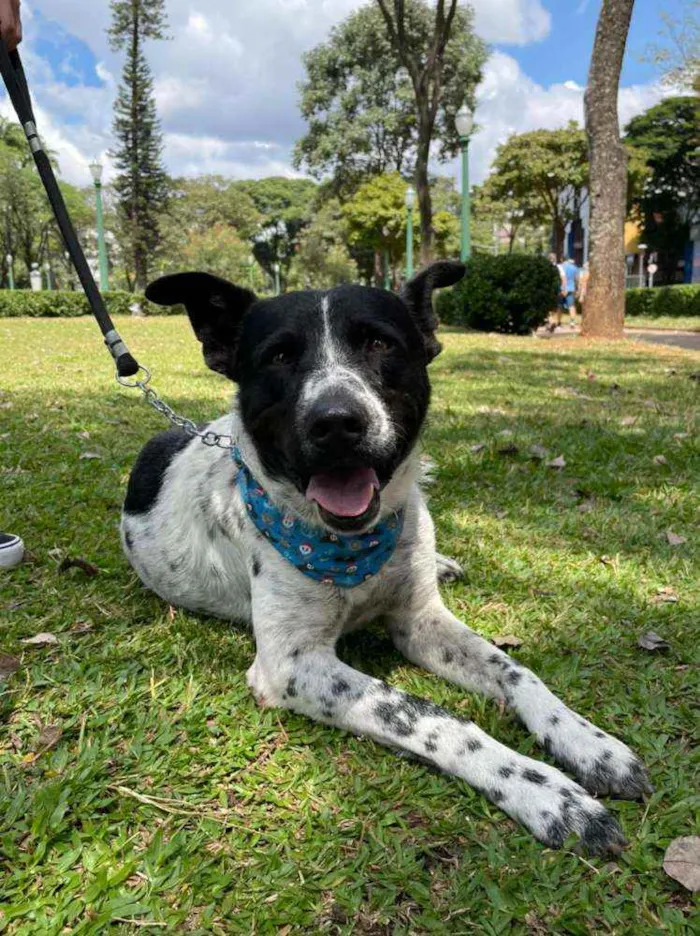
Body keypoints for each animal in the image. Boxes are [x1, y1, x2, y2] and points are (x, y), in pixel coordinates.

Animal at [120, 264, 652, 856]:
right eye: (278, 356)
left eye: (379, 343)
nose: (335, 422)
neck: (352, 547)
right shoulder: (291, 664)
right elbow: (432, 716)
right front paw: (545, 793)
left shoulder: (419, 621)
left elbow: (519, 672)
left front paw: (588, 742)